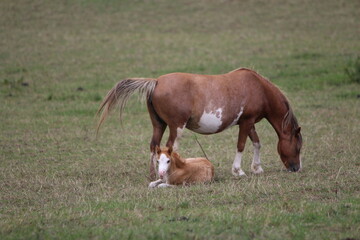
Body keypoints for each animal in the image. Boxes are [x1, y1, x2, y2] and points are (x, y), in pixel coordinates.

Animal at [97, 67, 302, 180]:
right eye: (298, 147)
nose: (296, 168)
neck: (258, 88)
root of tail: (156, 82)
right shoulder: (246, 122)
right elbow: (241, 145)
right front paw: (238, 171)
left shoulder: (249, 123)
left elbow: (257, 143)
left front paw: (257, 168)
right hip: (176, 127)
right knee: (170, 147)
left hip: (159, 125)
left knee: (154, 146)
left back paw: (153, 175)